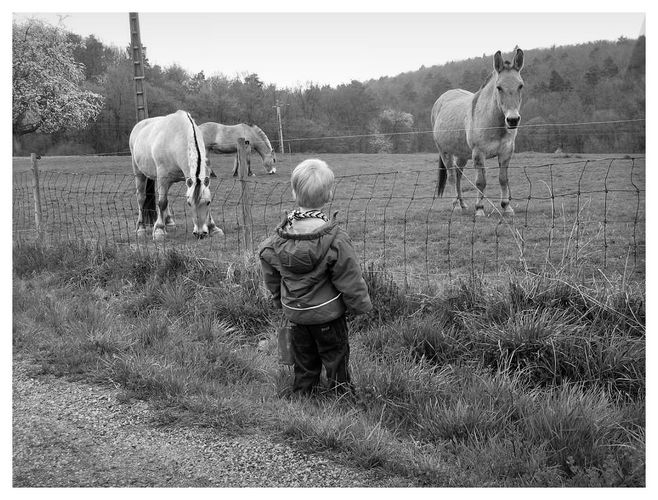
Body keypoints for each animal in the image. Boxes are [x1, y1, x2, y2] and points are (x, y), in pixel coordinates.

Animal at [129, 110, 224, 242]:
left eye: (208, 202)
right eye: (189, 203)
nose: (200, 233)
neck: (177, 137)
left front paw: (214, 228)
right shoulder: (163, 178)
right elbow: (162, 202)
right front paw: (159, 230)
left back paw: (169, 222)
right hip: (139, 174)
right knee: (141, 198)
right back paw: (141, 229)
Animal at [430, 47, 524, 217]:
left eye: (520, 86)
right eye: (499, 87)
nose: (512, 120)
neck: (493, 124)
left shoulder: (506, 152)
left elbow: (503, 179)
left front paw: (506, 207)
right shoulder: (478, 154)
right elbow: (481, 182)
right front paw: (479, 209)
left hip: (462, 154)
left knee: (458, 174)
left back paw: (462, 204)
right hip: (445, 152)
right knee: (452, 176)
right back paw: (455, 205)